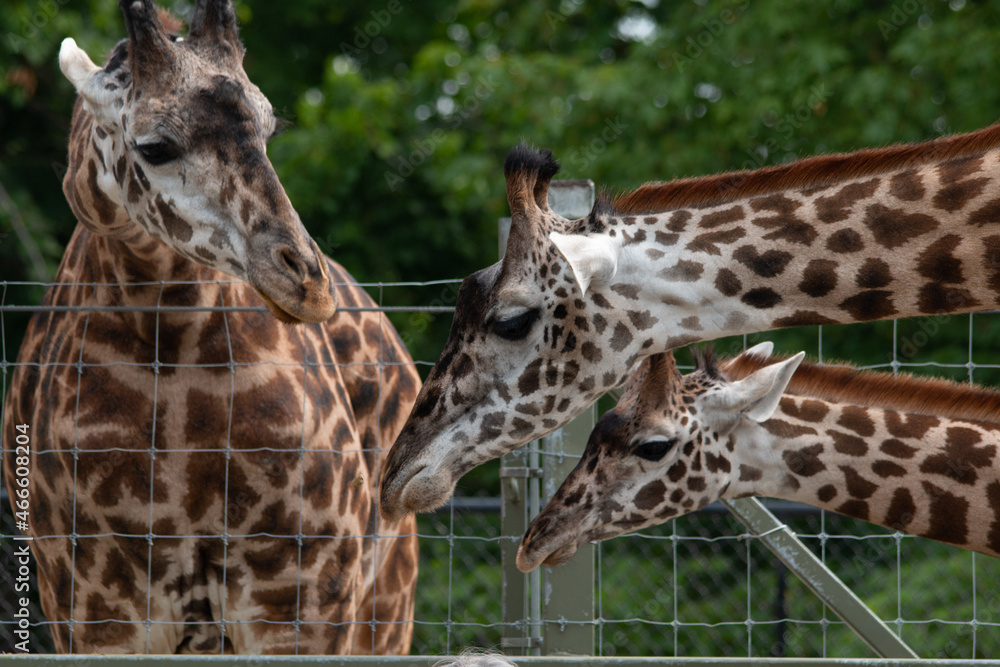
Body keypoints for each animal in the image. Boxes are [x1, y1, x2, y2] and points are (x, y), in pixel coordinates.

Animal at [0, 1, 418, 656]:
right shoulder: (94, 609)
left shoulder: (302, 603)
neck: (173, 346)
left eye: (269, 129)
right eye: (154, 146)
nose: (308, 283)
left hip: (387, 605)